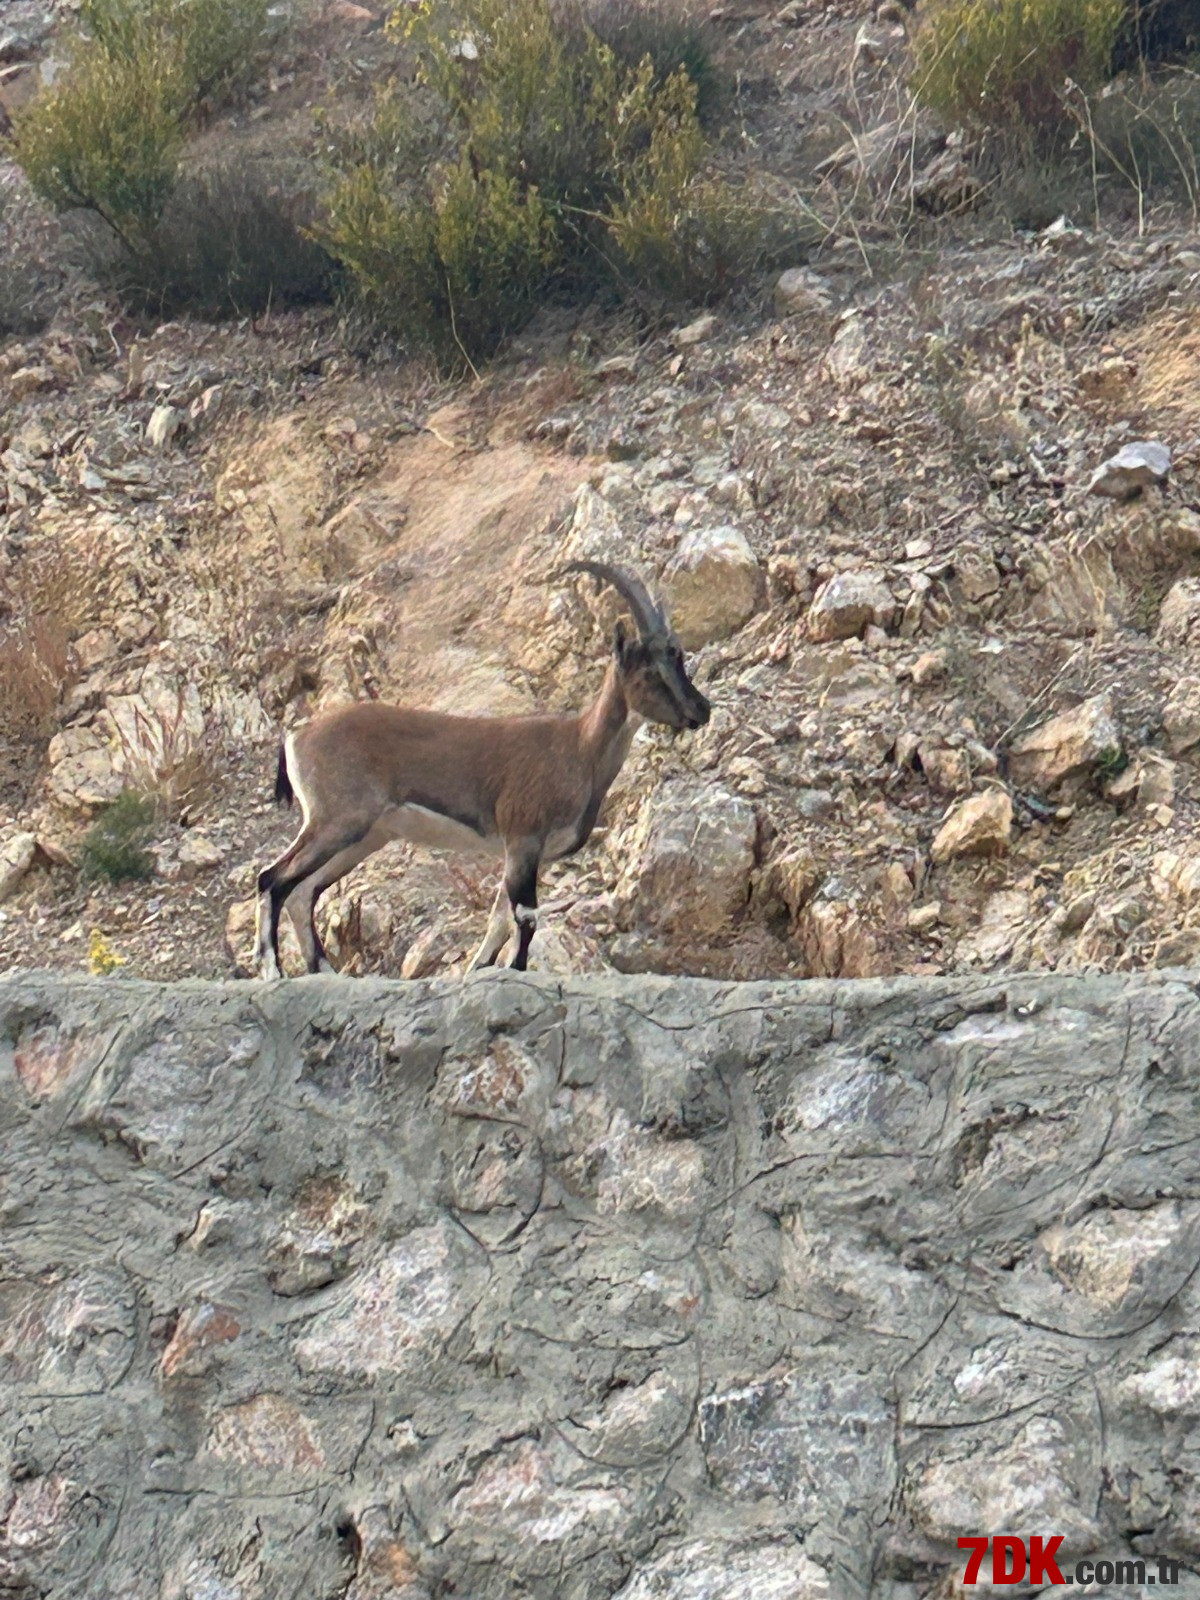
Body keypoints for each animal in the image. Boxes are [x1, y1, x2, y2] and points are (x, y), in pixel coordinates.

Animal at [251, 563, 704, 972]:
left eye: (678, 658)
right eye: (651, 669)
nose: (701, 710)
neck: (579, 748)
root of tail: (297, 737)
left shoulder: (526, 854)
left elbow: (500, 919)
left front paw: (479, 970)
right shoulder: (523, 839)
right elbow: (524, 917)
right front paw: (514, 971)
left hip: (365, 836)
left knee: (302, 891)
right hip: (339, 819)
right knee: (274, 878)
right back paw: (273, 970)